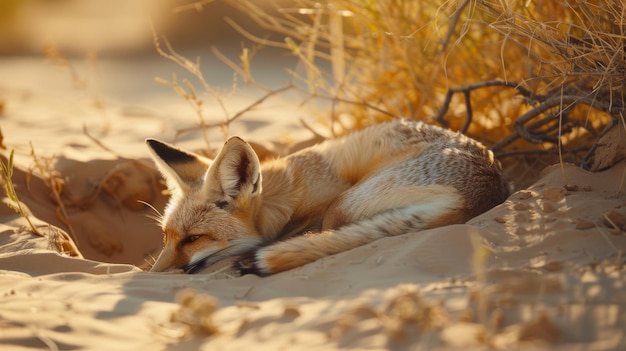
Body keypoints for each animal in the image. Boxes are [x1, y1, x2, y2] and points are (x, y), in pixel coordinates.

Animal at [145, 119, 508, 276]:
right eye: (165, 237)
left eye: (194, 239)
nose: (152, 276)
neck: (287, 195)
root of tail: (477, 195)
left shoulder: (322, 204)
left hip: (341, 205)